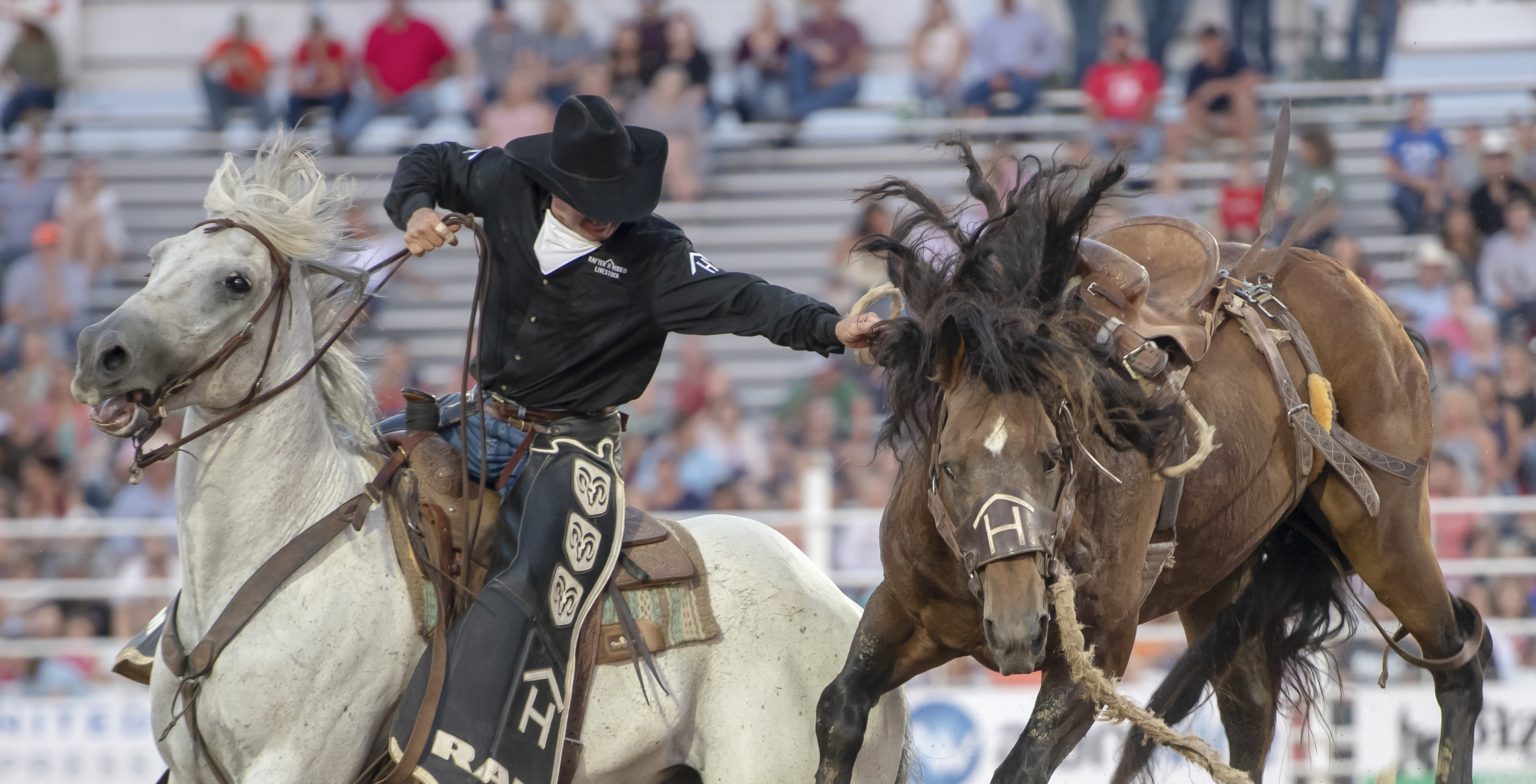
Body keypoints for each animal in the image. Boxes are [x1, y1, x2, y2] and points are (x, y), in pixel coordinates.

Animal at [817, 142, 1486, 784]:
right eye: (949, 467)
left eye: (1053, 459)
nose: (1017, 628)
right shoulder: (901, 610)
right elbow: (838, 709)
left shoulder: (1102, 651)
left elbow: (1018, 768)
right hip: (1223, 576)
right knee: (1251, 719)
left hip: (1384, 530)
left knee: (1459, 662)